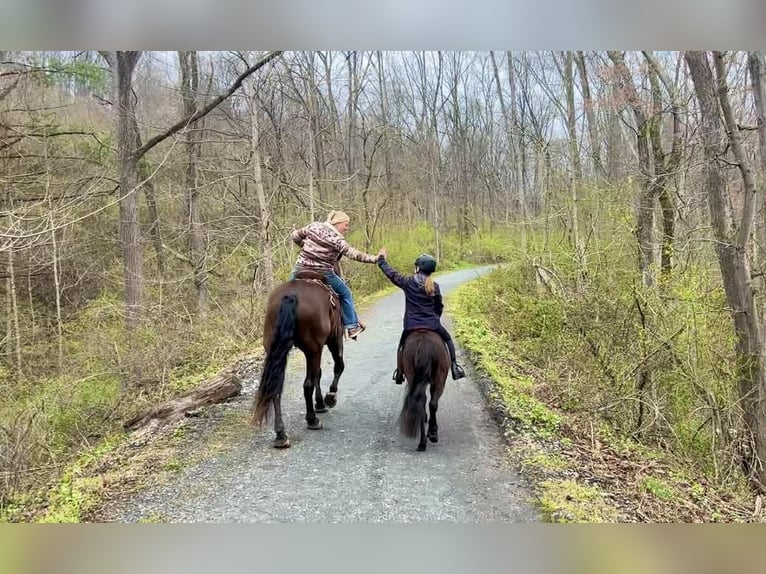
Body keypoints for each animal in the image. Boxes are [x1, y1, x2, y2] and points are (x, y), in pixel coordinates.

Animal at [249, 272, 344, 448]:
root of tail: (291, 296)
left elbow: (318, 374)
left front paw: (320, 404)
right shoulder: (334, 339)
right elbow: (338, 367)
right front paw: (329, 398)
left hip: (278, 350)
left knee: (276, 389)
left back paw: (281, 434)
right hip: (314, 349)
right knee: (307, 384)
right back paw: (312, 420)